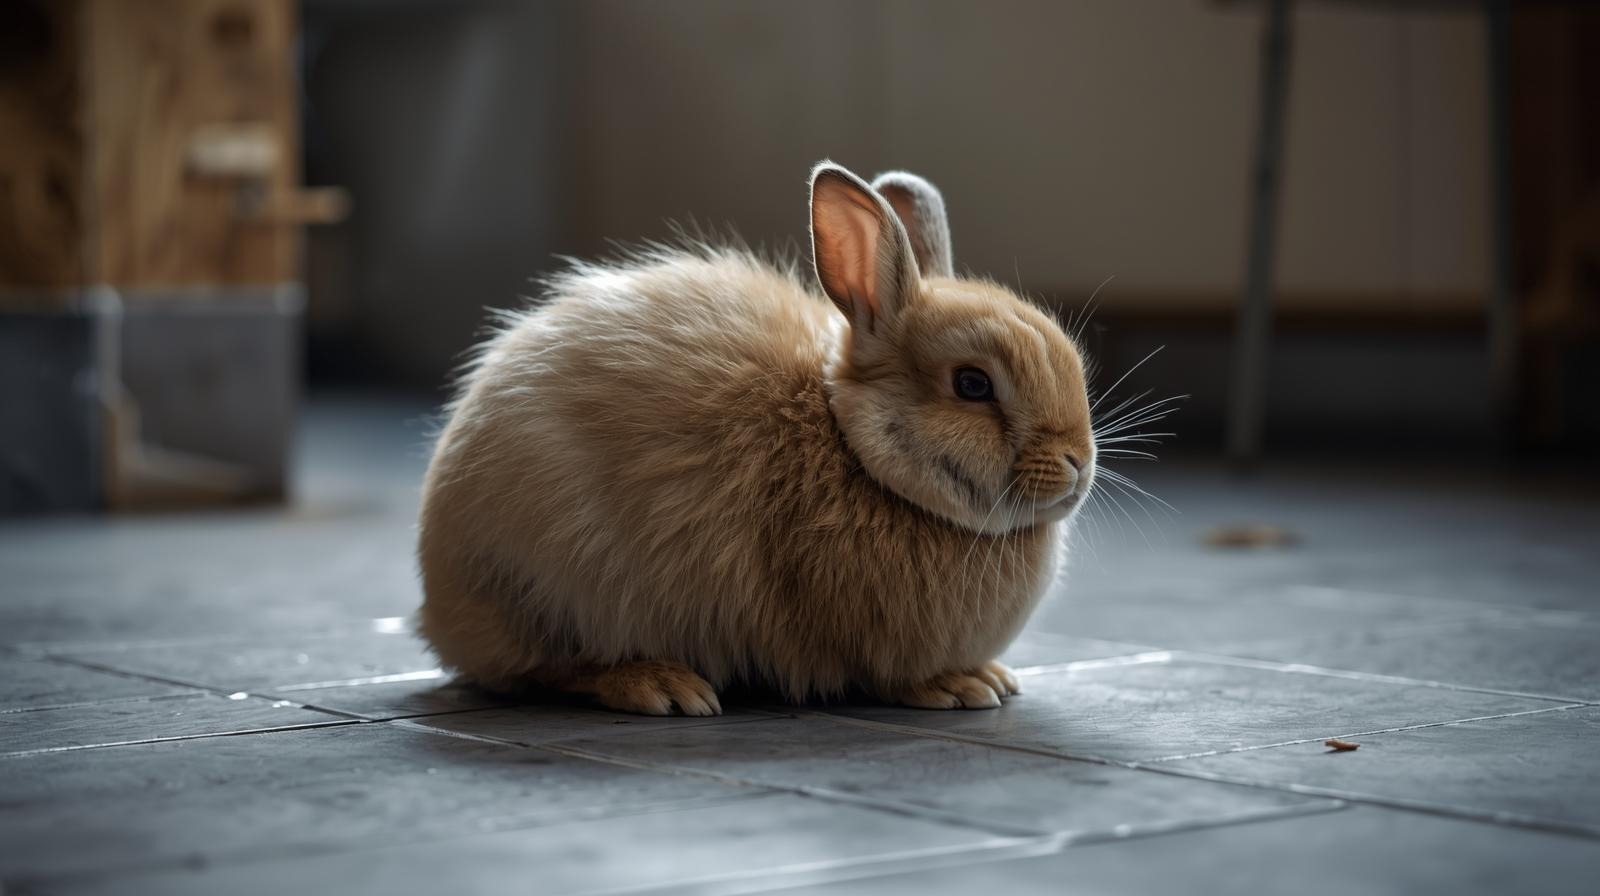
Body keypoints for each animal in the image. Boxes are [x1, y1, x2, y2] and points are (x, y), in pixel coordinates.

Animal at [416, 161, 1096, 716]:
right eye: (972, 385)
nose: (1078, 464)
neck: (855, 450)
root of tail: (438, 598)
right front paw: (961, 686)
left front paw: (992, 677)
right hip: (556, 589)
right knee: (549, 669)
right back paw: (658, 685)